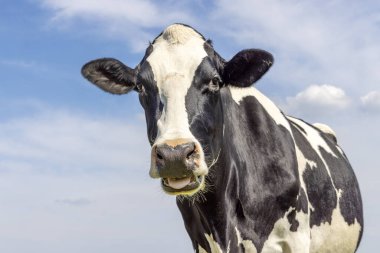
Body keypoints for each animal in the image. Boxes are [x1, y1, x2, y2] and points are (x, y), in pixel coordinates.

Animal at [81, 24, 364, 253]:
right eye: (140, 86)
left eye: (215, 81)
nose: (175, 155)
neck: (225, 223)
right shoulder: (202, 241)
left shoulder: (295, 239)